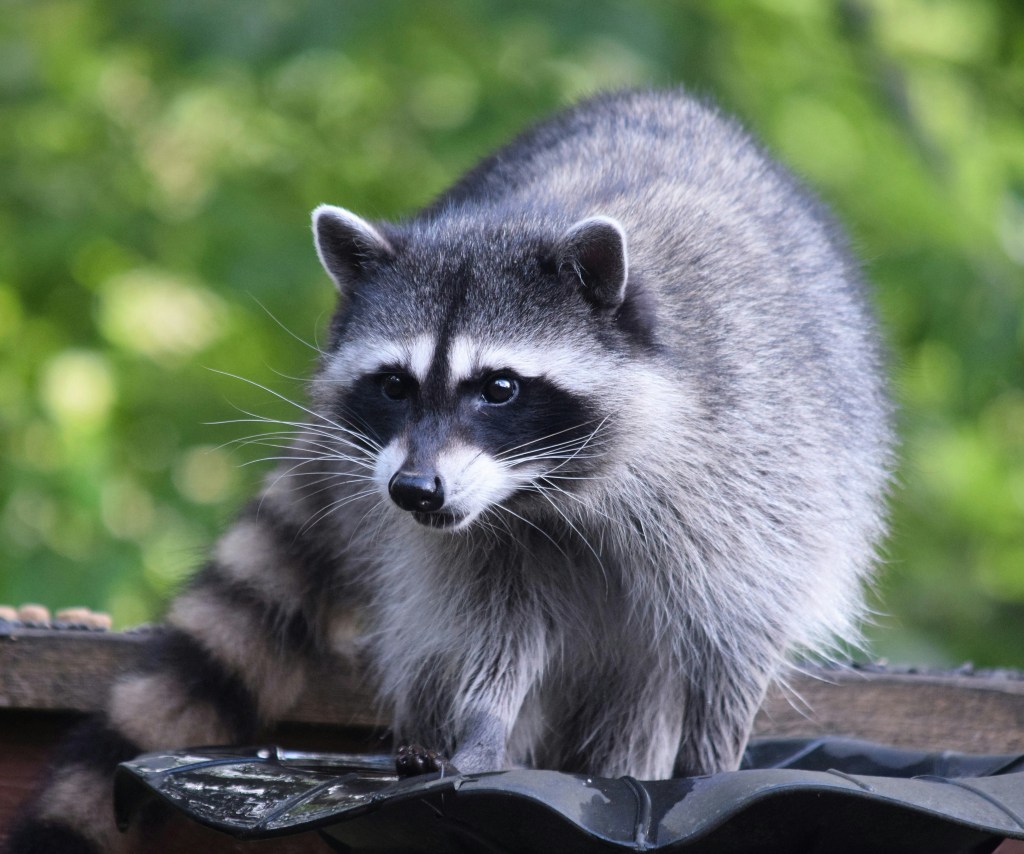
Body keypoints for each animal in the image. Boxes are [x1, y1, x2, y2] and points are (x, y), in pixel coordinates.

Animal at [6, 88, 888, 851]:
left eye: (499, 388)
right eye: (395, 385)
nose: (412, 490)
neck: (551, 488)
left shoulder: (751, 463)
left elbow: (734, 632)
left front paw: (709, 762)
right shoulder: (482, 534)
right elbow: (495, 622)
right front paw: (483, 725)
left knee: (647, 679)